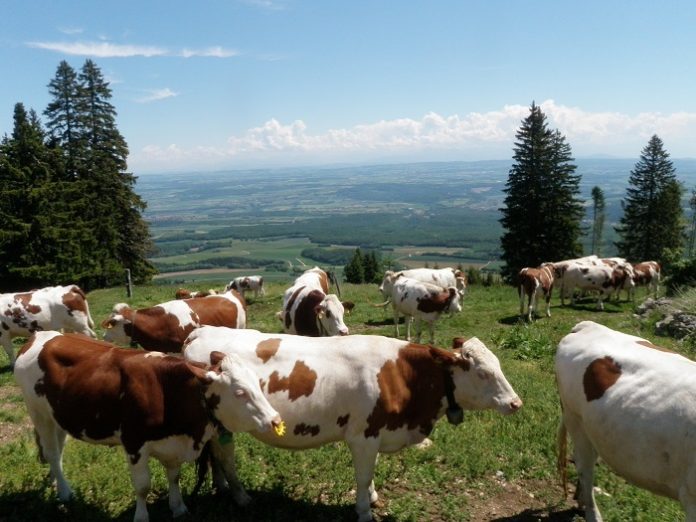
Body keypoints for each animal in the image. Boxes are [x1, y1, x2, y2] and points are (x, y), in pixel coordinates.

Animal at [13, 330, 282, 520]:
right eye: (240, 392)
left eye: (258, 383)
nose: (275, 420)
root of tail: (40, 336)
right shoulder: (134, 443)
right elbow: (143, 486)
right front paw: (141, 517)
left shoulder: (172, 443)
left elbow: (174, 476)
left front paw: (178, 507)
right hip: (38, 413)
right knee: (51, 452)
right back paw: (65, 492)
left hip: (58, 416)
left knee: (57, 452)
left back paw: (57, 483)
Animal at [185, 324, 520, 520]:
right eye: (483, 373)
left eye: (498, 365)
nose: (516, 403)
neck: (402, 374)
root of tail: (200, 331)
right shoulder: (363, 435)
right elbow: (362, 476)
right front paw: (363, 511)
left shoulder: (376, 433)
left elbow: (370, 474)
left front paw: (371, 498)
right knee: (226, 456)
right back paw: (241, 496)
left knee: (217, 454)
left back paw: (222, 488)